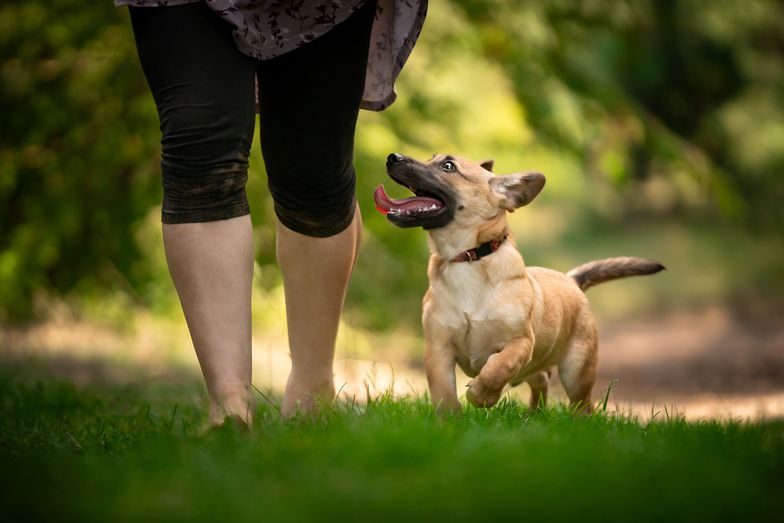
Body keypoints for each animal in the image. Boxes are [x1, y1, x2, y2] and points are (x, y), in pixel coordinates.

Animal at [372, 152, 660, 414]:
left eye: (448, 166)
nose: (392, 157)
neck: (468, 259)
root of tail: (572, 280)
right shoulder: (438, 351)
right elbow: (445, 394)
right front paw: (450, 422)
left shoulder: (520, 343)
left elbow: (499, 367)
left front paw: (481, 395)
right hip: (539, 367)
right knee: (541, 379)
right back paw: (534, 414)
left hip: (576, 372)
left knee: (582, 404)